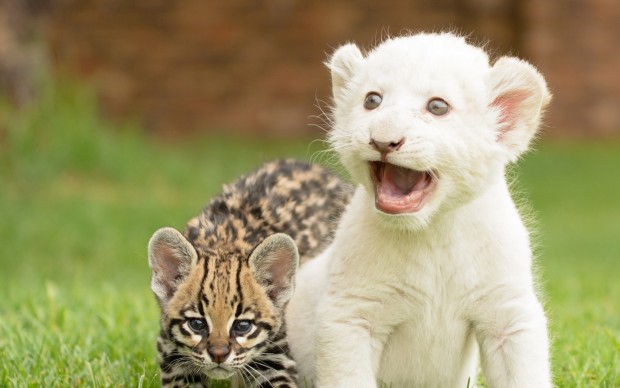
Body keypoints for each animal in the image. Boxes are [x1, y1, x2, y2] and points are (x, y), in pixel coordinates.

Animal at [145, 159, 348, 386]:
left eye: (243, 326)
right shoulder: (172, 355)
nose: (218, 354)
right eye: (196, 324)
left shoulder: (275, 358)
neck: (223, 244)